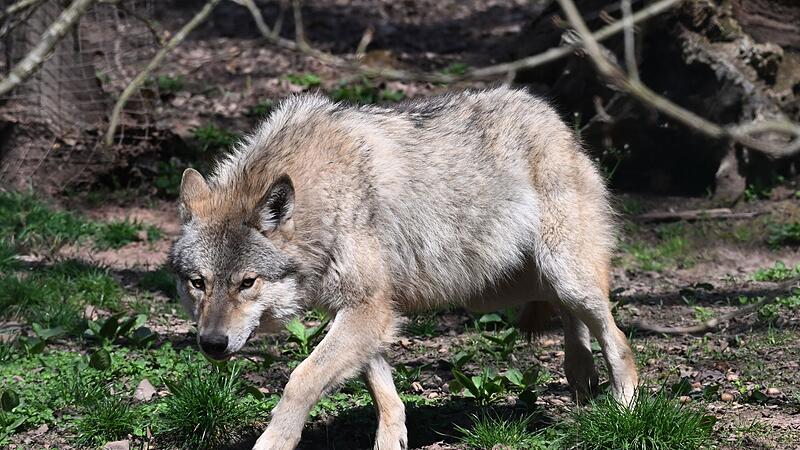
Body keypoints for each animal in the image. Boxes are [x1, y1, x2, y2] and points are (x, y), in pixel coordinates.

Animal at [168, 86, 639, 450]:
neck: (324, 197)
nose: (211, 343)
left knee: (615, 335)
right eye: (198, 283)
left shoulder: (368, 308)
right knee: (569, 316)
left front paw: (274, 441)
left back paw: (625, 405)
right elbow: (383, 391)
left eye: (247, 282)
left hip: (561, 275)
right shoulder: (369, 311)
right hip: (502, 287)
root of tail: (554, 116)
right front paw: (391, 438)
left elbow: (301, 379)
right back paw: (580, 375)